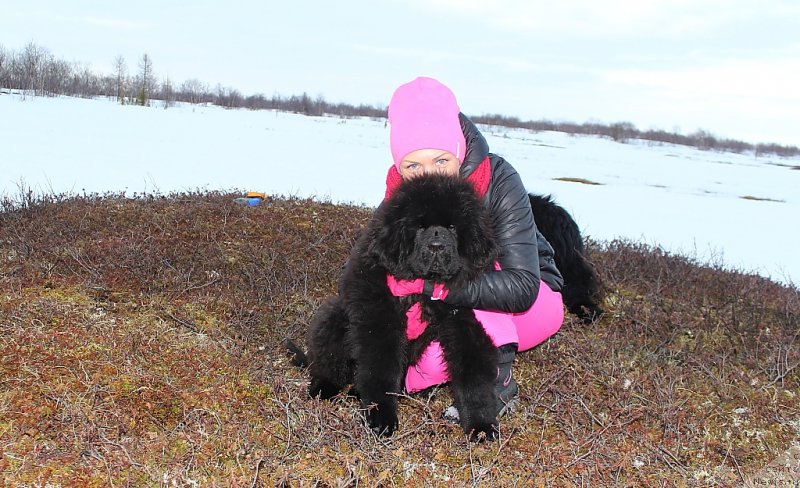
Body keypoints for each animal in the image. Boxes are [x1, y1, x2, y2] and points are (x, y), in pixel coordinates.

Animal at [300, 174, 500, 442]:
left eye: (452, 227)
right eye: (420, 226)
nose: (436, 246)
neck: (422, 286)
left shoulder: (462, 318)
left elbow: (473, 372)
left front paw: (481, 425)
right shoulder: (378, 319)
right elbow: (381, 369)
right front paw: (381, 419)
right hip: (335, 316)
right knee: (329, 361)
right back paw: (323, 388)